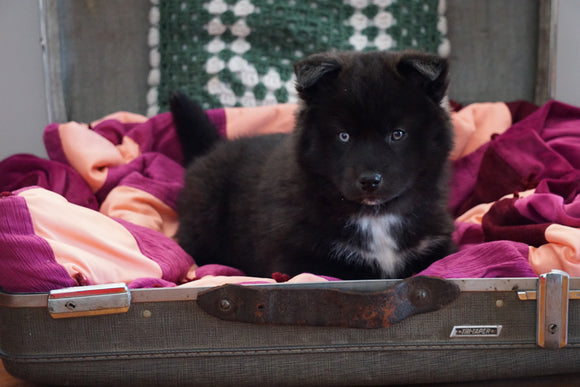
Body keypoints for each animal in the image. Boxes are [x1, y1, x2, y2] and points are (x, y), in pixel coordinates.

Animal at [170, 50, 456, 278]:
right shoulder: (301, 259)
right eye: (344, 136)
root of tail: (213, 149)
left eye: (397, 133)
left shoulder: (435, 245)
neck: (377, 216)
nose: (369, 181)